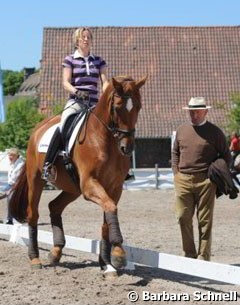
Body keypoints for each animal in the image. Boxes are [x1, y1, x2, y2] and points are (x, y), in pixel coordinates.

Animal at [8, 75, 146, 274]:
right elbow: (111, 208)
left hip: (73, 189)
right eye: (117, 107)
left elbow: (108, 216)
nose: (127, 148)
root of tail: (37, 129)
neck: (105, 140)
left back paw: (56, 252)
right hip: (36, 180)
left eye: (138, 107)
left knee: (54, 206)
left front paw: (107, 262)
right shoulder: (89, 184)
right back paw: (35, 258)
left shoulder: (114, 187)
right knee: (33, 214)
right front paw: (119, 255)